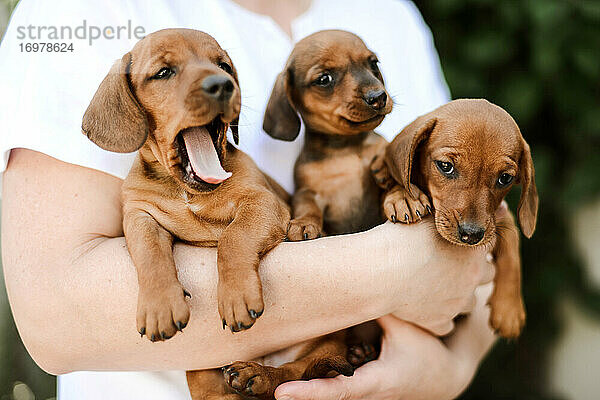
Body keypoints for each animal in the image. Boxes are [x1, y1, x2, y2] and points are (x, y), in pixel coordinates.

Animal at [81, 28, 290, 400]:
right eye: (164, 72)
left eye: (223, 66)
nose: (222, 84)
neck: (188, 191)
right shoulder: (139, 215)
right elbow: (150, 254)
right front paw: (160, 305)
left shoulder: (263, 202)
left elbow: (234, 238)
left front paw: (236, 295)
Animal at [264, 29, 392, 368]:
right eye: (324, 79)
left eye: (373, 63)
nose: (378, 96)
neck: (344, 150)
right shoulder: (309, 191)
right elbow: (308, 206)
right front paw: (304, 225)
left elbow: (386, 163)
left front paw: (398, 189)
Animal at [376, 97, 540, 338]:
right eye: (445, 166)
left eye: (505, 178)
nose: (471, 235)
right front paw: (403, 196)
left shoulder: (499, 220)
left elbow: (512, 250)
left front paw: (509, 309)